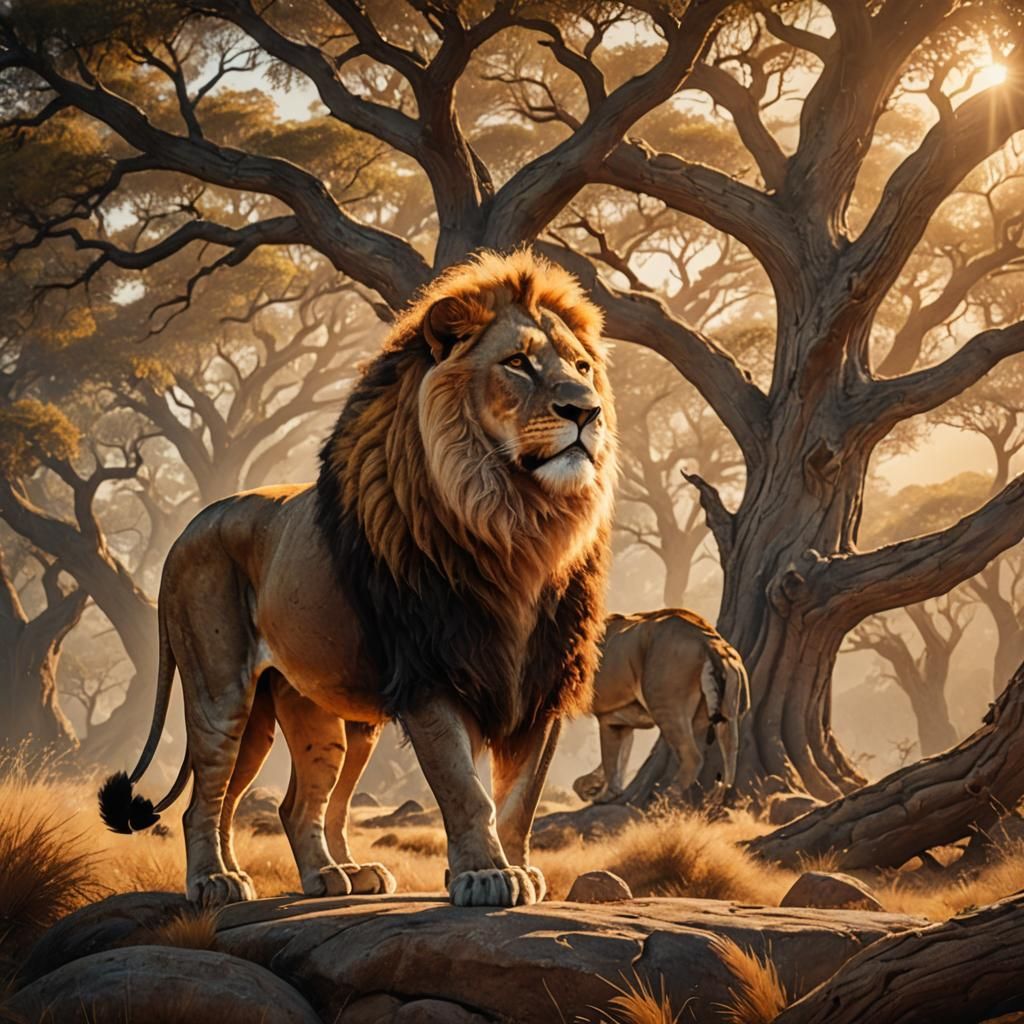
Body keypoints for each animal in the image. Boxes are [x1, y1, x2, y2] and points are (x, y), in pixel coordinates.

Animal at [99, 250, 616, 908]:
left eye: (582, 367)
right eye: (517, 363)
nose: (585, 410)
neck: (516, 522)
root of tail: (188, 528)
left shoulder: (540, 682)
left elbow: (520, 802)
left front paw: (518, 871)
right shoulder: (429, 672)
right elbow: (465, 788)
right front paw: (484, 876)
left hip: (314, 715)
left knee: (294, 804)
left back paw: (336, 875)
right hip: (221, 693)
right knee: (205, 801)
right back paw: (215, 882)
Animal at [572, 609, 749, 805]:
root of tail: (709, 643)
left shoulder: (608, 717)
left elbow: (610, 760)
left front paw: (602, 794)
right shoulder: (621, 722)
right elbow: (619, 759)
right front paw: (595, 786)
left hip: (667, 710)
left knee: (693, 758)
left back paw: (663, 798)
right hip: (727, 718)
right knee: (730, 762)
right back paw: (714, 799)